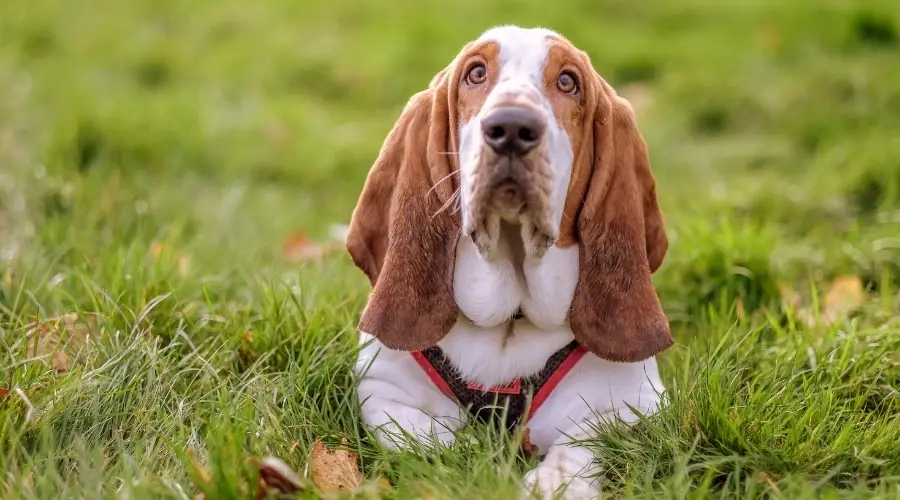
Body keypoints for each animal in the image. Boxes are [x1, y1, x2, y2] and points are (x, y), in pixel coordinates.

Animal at [346, 25, 676, 498]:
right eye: (476, 73)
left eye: (568, 81)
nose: (512, 128)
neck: (511, 319)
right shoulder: (381, 387)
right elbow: (419, 437)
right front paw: (461, 455)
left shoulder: (638, 403)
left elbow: (588, 441)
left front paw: (555, 482)